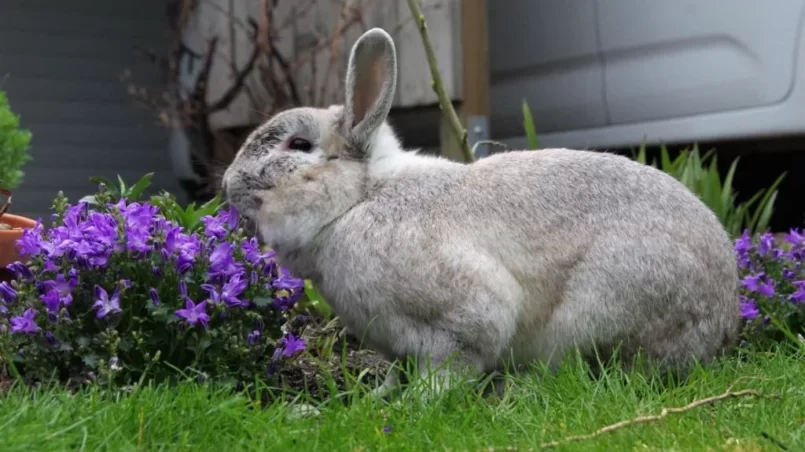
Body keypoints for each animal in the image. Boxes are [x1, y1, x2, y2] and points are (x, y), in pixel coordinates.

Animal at [220, 27, 740, 396]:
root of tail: (720, 320)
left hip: (600, 309)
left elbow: (454, 364)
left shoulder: (462, 320)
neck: (358, 200)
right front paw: (375, 399)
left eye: (298, 146)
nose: (228, 185)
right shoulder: (392, 344)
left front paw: (417, 405)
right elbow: (392, 374)